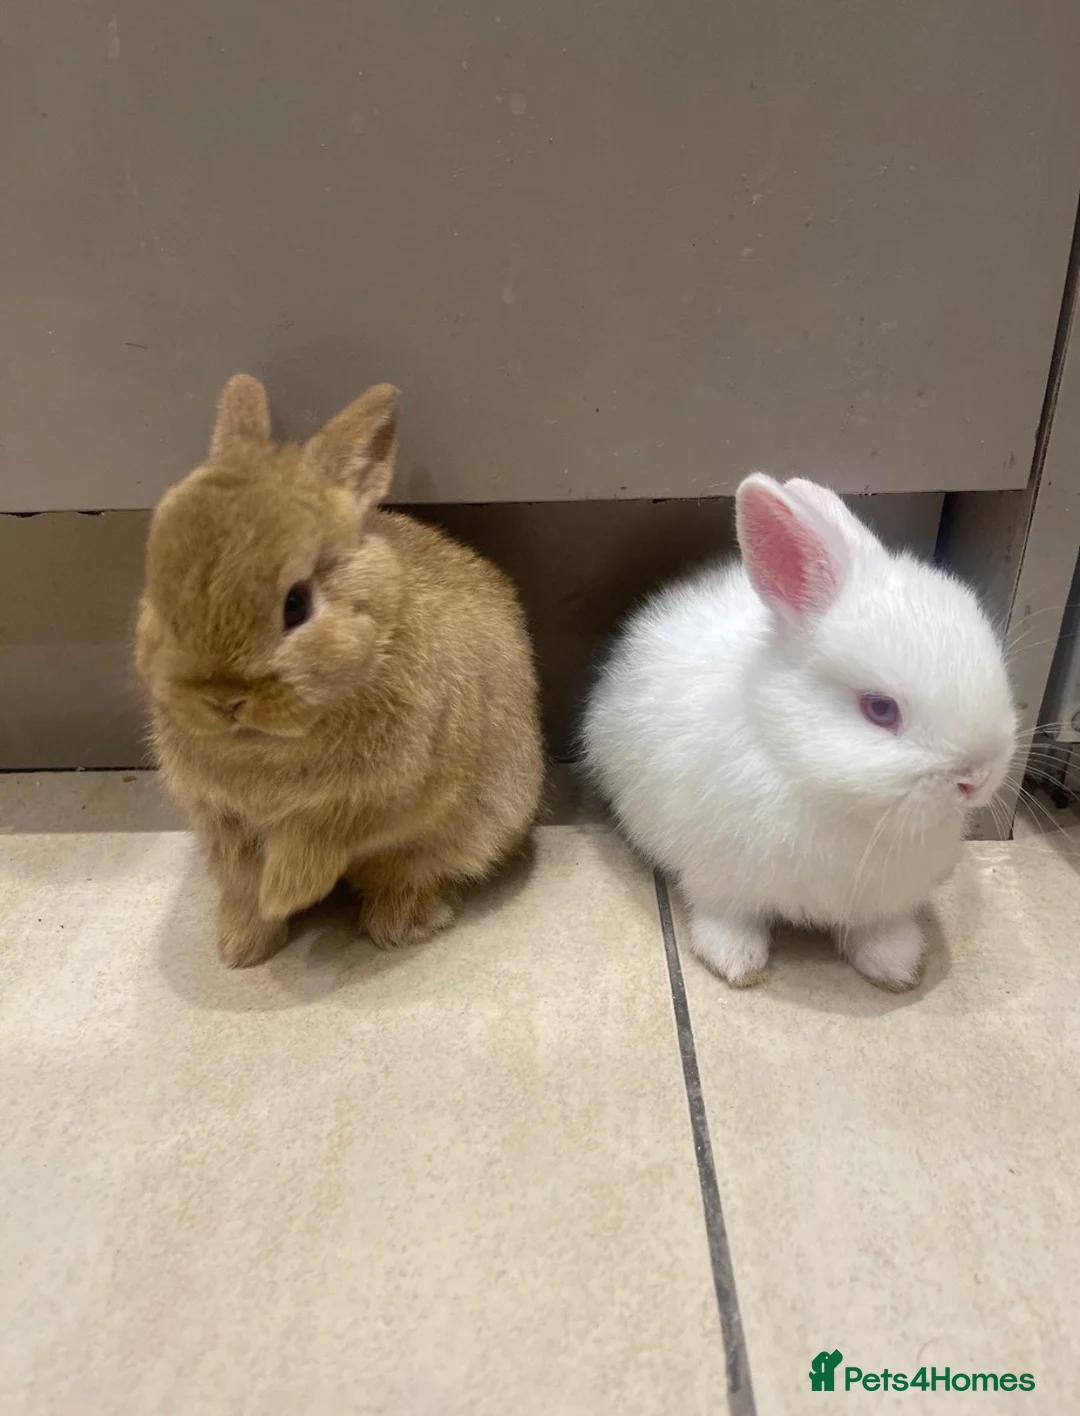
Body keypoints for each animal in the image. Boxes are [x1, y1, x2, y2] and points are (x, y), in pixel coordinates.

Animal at [135, 375, 543, 967]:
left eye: (297, 604)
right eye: (159, 587)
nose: (222, 697)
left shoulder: (377, 799)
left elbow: (314, 843)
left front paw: (285, 894)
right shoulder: (222, 818)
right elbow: (243, 878)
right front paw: (245, 942)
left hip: (475, 826)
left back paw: (396, 925)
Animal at [582, 473, 1017, 991]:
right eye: (880, 709)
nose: (977, 777)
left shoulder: (879, 898)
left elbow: (876, 929)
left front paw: (895, 965)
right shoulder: (718, 875)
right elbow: (726, 915)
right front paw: (735, 961)